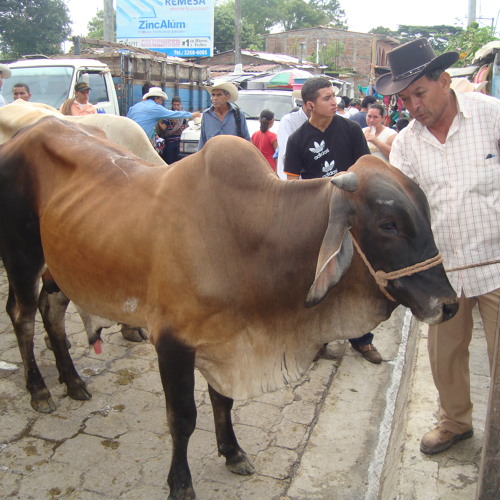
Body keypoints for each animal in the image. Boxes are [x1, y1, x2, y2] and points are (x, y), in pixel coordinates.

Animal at [0, 117, 458, 500]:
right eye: (389, 225)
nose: (449, 305)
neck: (250, 236)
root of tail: (25, 132)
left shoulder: (225, 338)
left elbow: (223, 401)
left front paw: (233, 451)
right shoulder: (172, 341)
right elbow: (182, 417)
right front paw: (180, 483)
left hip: (63, 267)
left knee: (51, 311)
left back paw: (73, 380)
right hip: (22, 259)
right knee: (22, 316)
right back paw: (40, 389)